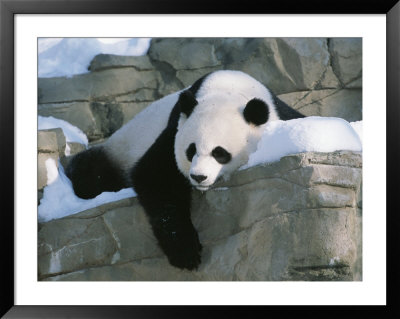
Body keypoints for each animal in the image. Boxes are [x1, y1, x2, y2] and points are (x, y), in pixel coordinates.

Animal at [66, 70, 304, 270]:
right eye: (191, 150)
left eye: (220, 153)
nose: (199, 177)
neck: (227, 89)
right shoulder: (174, 130)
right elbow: (156, 177)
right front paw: (186, 252)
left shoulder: (279, 112)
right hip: (119, 149)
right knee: (90, 171)